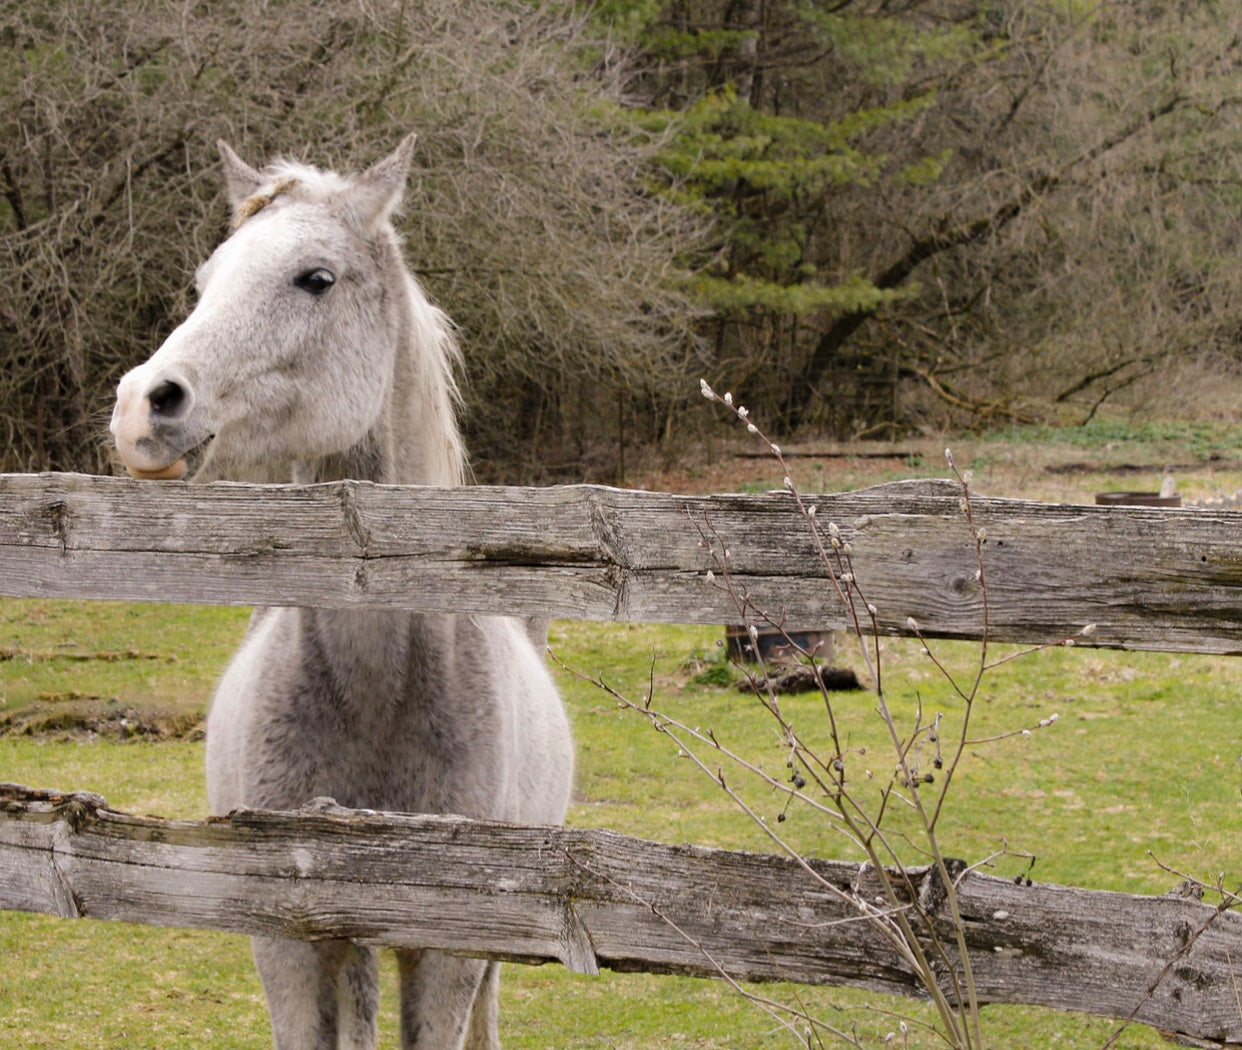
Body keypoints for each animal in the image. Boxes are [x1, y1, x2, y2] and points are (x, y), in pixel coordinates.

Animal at [109, 137, 573, 1048]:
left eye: (315, 278)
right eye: (206, 278)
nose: (144, 406)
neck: (376, 690)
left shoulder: (449, 947)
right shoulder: (289, 939)